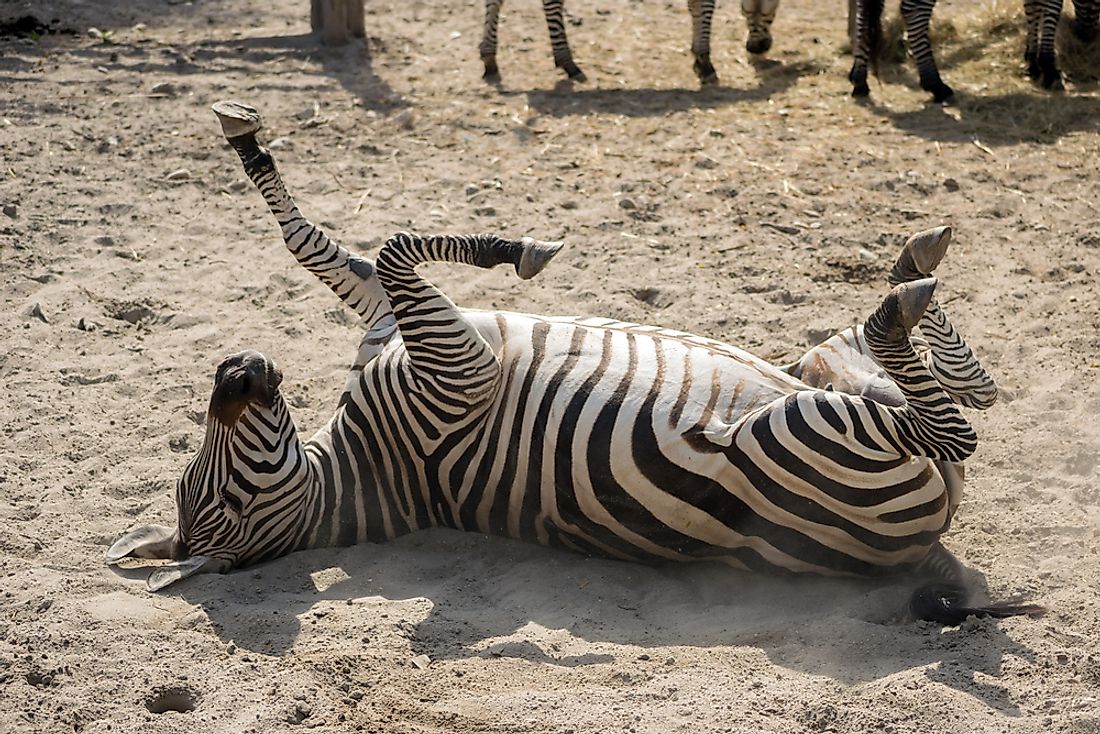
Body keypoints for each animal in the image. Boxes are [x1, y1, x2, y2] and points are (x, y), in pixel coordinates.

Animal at [107, 101, 1042, 625]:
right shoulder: (459, 366)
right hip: (803, 433)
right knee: (952, 428)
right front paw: (523, 250)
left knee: (953, 389)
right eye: (223, 494)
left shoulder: (391, 319)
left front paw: (246, 139)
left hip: (819, 376)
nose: (239, 367)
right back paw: (900, 302)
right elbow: (398, 242)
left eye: (200, 470)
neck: (355, 469)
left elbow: (324, 246)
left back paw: (914, 273)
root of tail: (925, 550)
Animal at [479, 0, 721, 83]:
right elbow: (705, 6)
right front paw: (704, 60)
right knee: (551, 5)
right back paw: (568, 63)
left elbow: (695, 6)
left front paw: (697, 58)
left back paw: (489, 57)